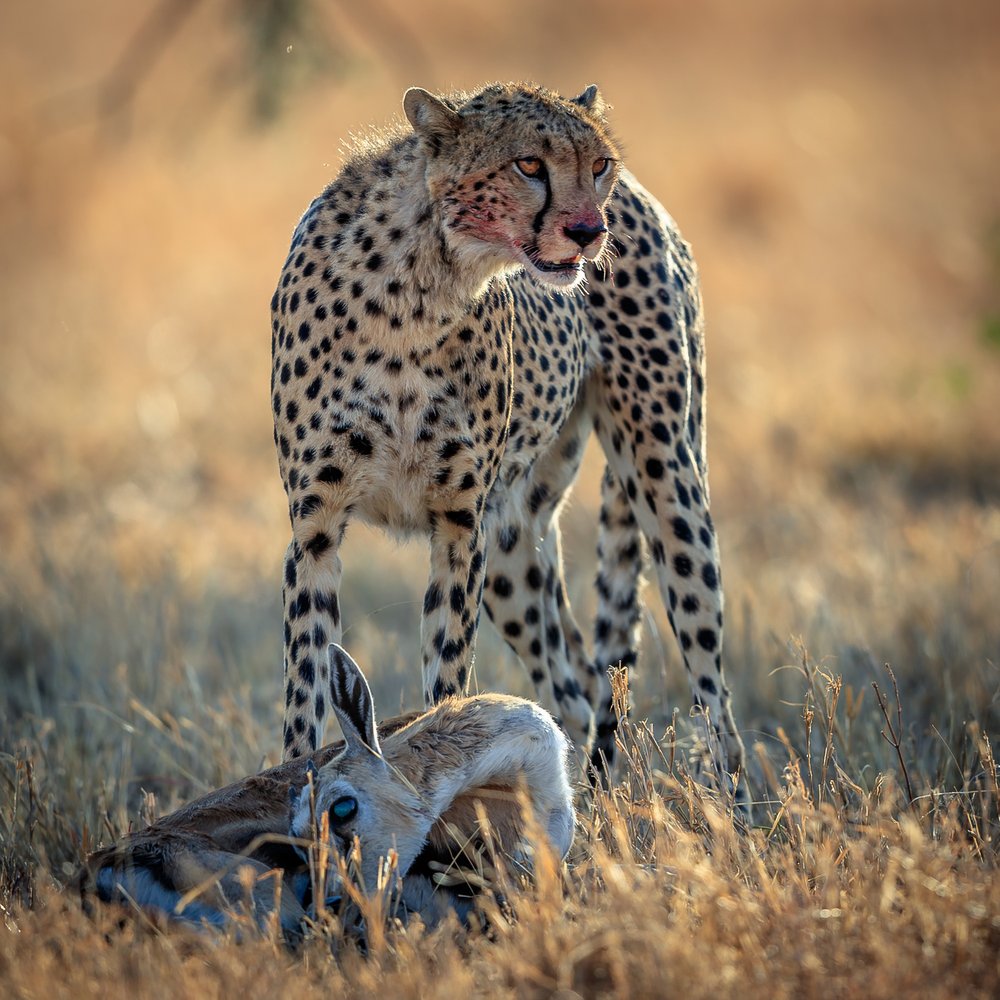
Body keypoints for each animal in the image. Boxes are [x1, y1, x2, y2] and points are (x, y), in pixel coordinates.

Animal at [270, 81, 749, 817]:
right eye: (528, 165)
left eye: (598, 164)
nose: (589, 232)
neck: (419, 286)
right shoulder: (316, 526)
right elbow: (306, 689)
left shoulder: (458, 525)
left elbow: (446, 683)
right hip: (513, 551)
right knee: (578, 687)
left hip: (666, 478)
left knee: (710, 690)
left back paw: (737, 819)